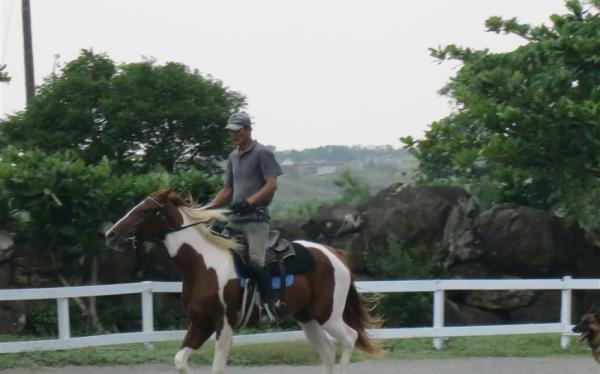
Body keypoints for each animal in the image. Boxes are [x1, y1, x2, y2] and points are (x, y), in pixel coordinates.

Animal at [105, 190, 382, 374]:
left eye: (145, 210)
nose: (112, 234)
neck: (203, 263)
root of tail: (335, 253)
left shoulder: (224, 324)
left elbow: (217, 367)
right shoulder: (200, 324)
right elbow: (180, 360)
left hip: (328, 315)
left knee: (349, 338)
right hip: (307, 317)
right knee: (327, 352)